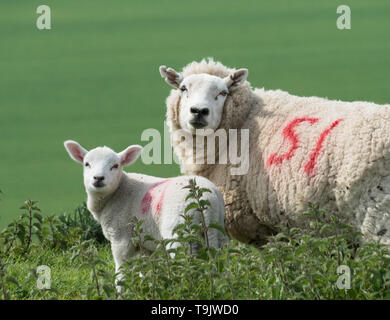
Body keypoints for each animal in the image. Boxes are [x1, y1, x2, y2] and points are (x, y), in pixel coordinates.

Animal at [63, 140, 227, 290]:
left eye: (115, 166)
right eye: (86, 164)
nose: (98, 178)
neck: (117, 192)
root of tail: (208, 201)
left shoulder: (121, 237)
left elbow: (120, 271)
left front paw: (120, 292)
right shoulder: (145, 242)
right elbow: (146, 269)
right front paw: (148, 287)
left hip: (180, 232)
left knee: (186, 264)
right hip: (218, 233)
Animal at [158, 57, 390, 248]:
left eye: (223, 93)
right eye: (183, 88)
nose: (198, 111)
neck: (242, 120)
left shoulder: (260, 226)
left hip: (377, 215)